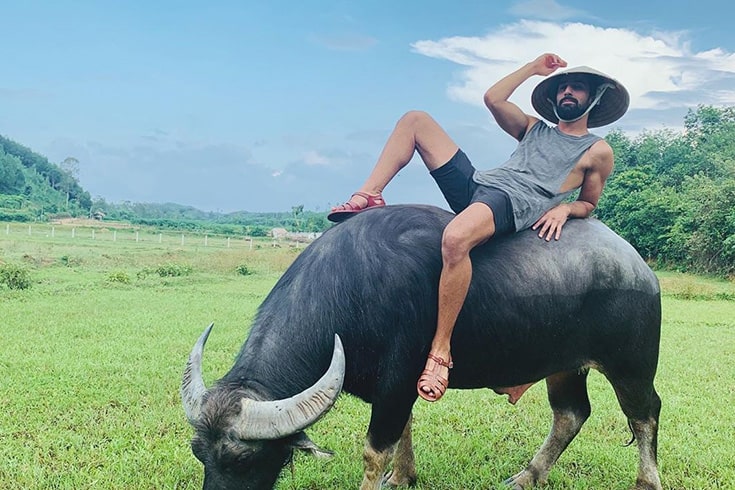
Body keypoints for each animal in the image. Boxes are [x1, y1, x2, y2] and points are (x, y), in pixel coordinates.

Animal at [181, 204, 664, 490]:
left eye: (243, 460)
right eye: (198, 453)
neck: (351, 289)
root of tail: (639, 266)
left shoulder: (397, 382)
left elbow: (375, 451)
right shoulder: (397, 388)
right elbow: (405, 431)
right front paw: (403, 477)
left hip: (631, 364)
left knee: (644, 415)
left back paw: (647, 481)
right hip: (563, 366)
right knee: (571, 414)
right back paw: (528, 475)